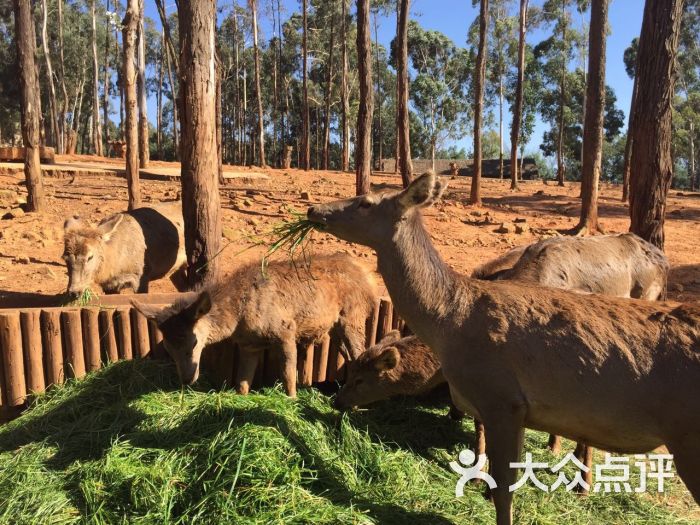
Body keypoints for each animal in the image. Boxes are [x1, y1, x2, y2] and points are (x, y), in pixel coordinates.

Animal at [135, 254, 380, 398]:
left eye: (194, 342)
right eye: (168, 347)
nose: (186, 379)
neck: (238, 320)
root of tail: (369, 278)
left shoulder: (286, 329)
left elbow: (288, 374)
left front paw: (291, 401)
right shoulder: (249, 345)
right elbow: (243, 382)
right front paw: (241, 399)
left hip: (353, 316)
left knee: (360, 352)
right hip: (336, 327)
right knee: (351, 357)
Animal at [310, 171, 700, 524]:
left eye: (365, 202)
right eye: (348, 371)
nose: (314, 210)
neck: (452, 324)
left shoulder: (502, 397)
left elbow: (504, 489)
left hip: (687, 432)